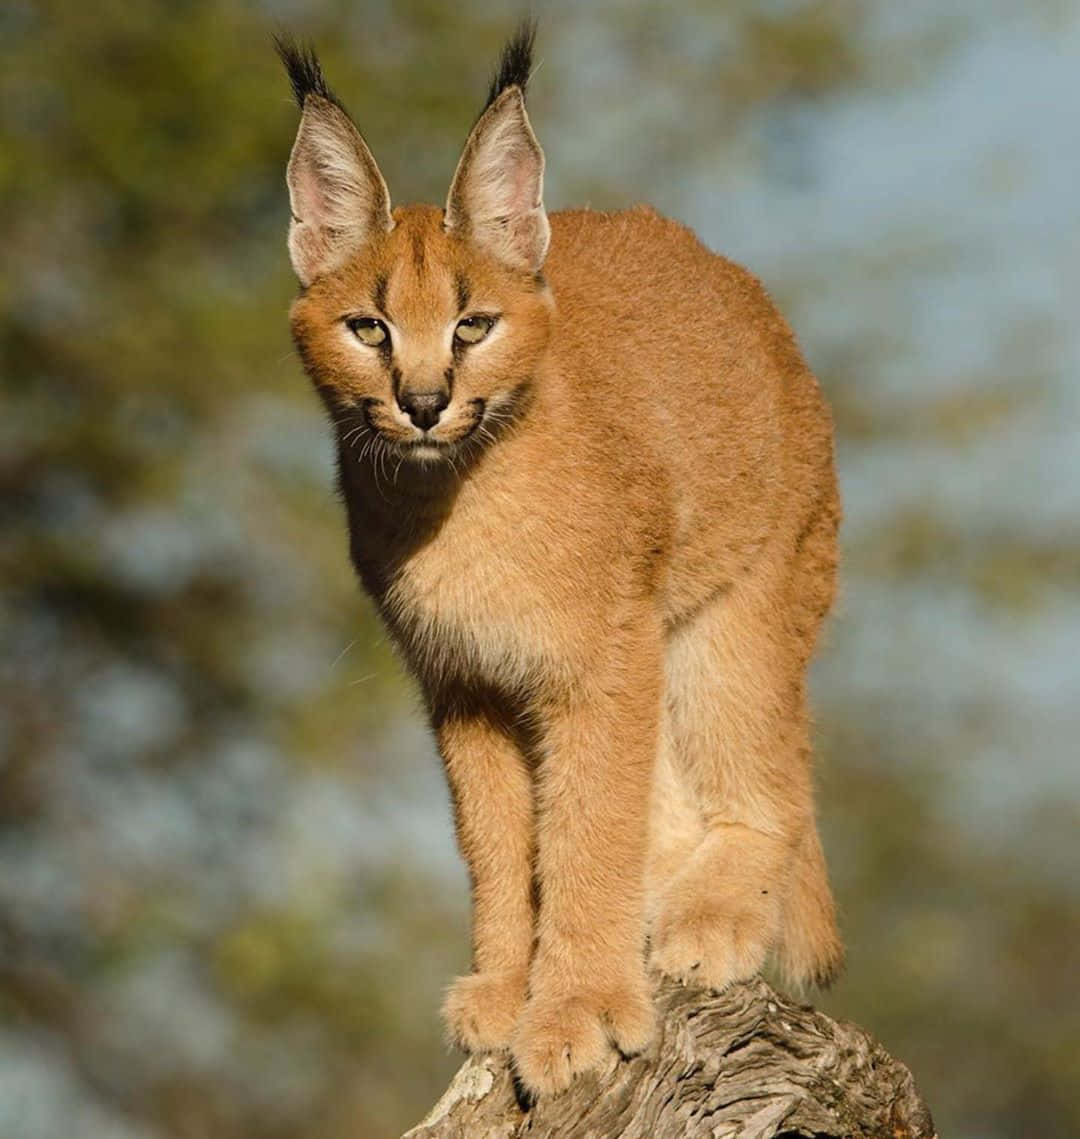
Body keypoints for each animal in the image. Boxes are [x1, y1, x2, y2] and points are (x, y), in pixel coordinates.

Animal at [274, 24, 838, 1093]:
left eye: (472, 325)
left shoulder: (603, 661)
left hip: (738, 604)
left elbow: (588, 828)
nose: (422, 403)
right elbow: (499, 840)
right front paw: (508, 987)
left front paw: (578, 1009)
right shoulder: (464, 683)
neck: (455, 496)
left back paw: (708, 917)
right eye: (367, 327)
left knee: (773, 776)